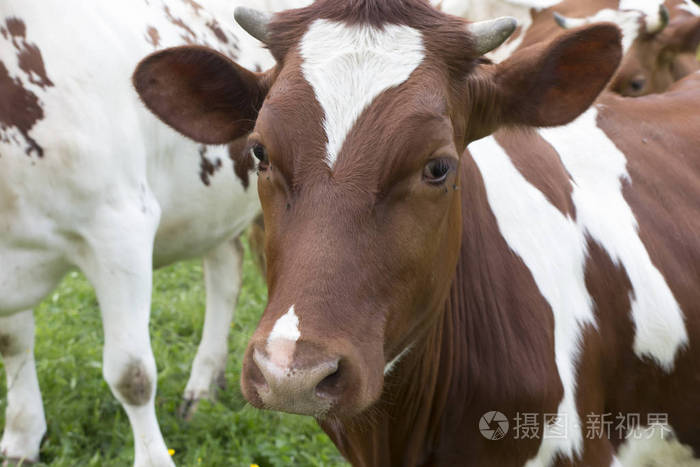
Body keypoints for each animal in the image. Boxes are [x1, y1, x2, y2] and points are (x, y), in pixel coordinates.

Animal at [0, 0, 300, 466]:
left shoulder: (121, 226)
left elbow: (131, 374)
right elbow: (13, 342)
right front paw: (21, 436)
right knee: (225, 269)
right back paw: (203, 387)